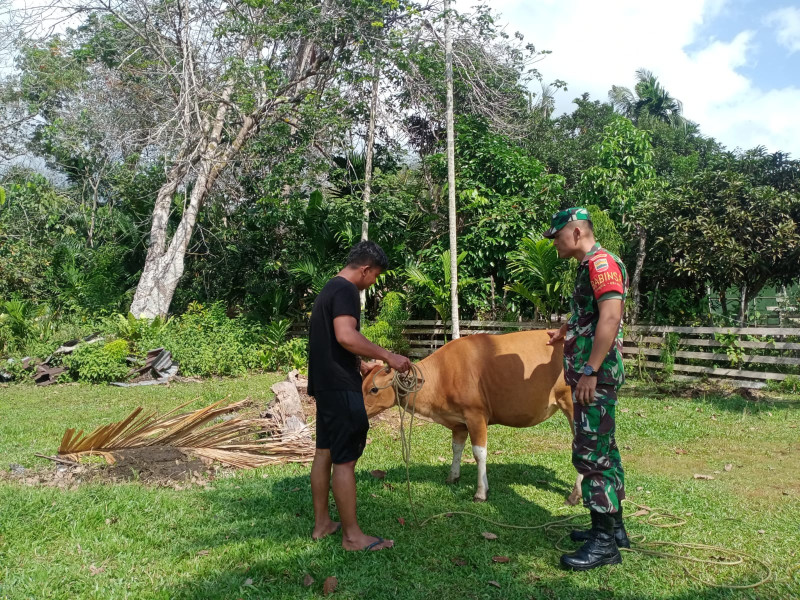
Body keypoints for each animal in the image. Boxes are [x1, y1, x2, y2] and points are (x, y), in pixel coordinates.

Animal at [364, 330, 580, 504]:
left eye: (373, 389)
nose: (361, 410)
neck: (442, 374)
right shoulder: (458, 423)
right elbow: (456, 448)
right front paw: (453, 477)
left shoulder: (476, 416)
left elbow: (479, 453)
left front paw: (481, 492)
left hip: (572, 405)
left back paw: (574, 495)